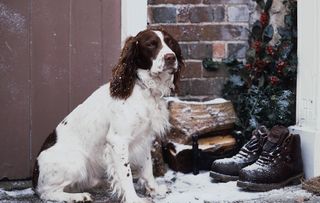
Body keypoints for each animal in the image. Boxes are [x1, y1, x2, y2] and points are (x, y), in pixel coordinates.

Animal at [32, 29, 185, 203]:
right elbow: (126, 174)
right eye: (151, 44)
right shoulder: (118, 141)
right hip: (77, 161)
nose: (171, 57)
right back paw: (78, 196)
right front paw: (133, 198)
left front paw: (154, 189)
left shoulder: (145, 138)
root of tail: (35, 174)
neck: (144, 90)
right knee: (46, 192)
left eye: (170, 43)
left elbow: (147, 168)